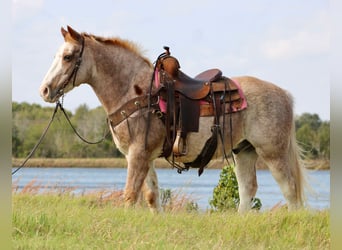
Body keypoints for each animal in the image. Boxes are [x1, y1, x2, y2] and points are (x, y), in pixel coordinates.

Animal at [39, 25, 308, 213]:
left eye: (68, 56)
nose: (45, 90)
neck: (136, 92)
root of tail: (283, 94)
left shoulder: (138, 154)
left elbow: (130, 195)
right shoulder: (144, 156)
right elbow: (151, 196)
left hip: (273, 153)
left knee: (290, 190)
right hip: (244, 151)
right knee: (247, 189)